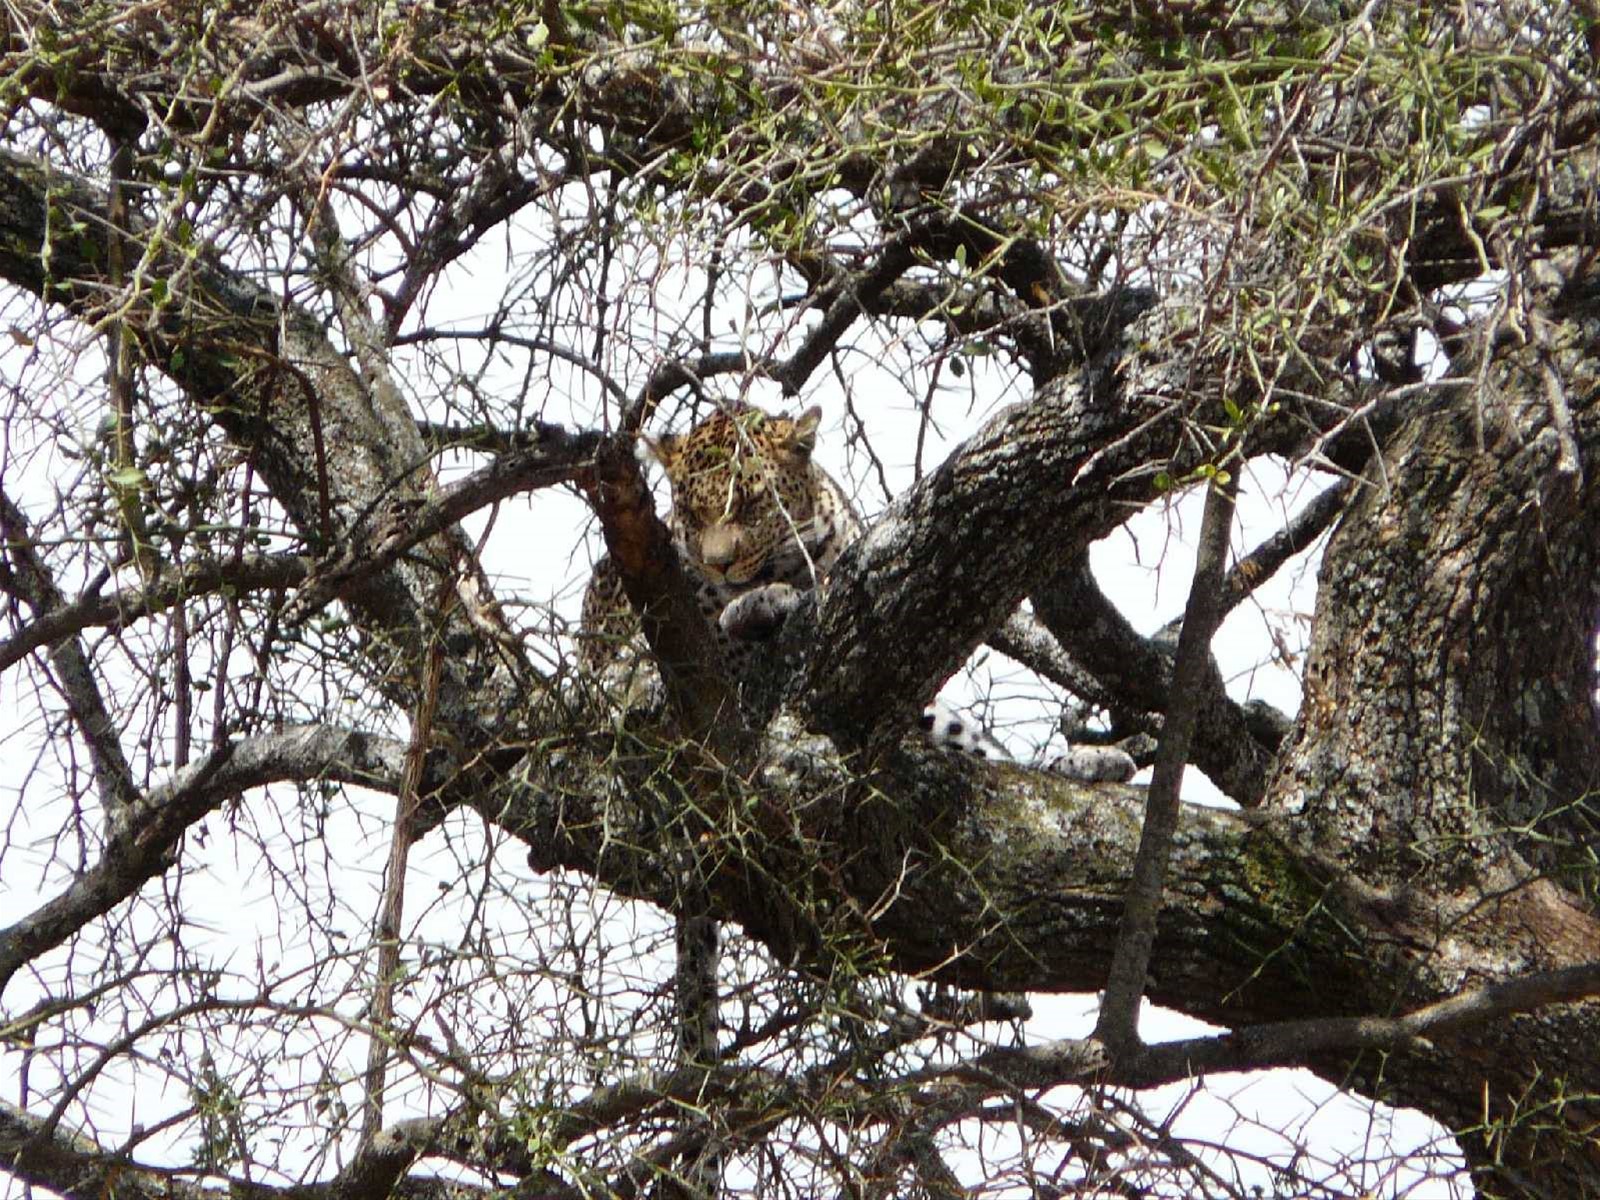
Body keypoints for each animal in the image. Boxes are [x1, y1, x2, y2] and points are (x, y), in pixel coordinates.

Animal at [580, 403, 1133, 779]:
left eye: (753, 505)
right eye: (693, 514)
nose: (719, 564)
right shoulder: (646, 649)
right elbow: (715, 634)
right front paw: (756, 605)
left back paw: (1092, 761)